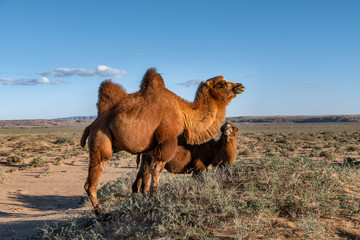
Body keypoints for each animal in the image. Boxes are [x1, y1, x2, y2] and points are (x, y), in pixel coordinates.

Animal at [81, 67, 245, 216]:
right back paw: (101, 215)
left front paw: (144, 200)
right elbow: (156, 170)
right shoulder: (166, 140)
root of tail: (92, 124)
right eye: (222, 83)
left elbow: (145, 176)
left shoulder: (150, 149)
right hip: (100, 138)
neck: (183, 112)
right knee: (92, 180)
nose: (240, 85)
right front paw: (154, 199)